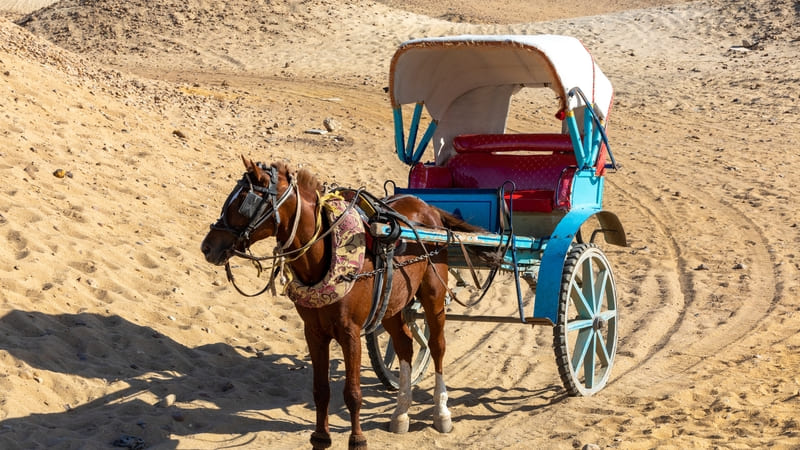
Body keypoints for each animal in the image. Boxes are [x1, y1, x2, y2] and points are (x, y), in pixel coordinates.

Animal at [200, 156, 488, 448]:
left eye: (244, 200)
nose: (207, 248)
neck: (324, 253)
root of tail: (428, 208)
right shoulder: (314, 333)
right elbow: (321, 390)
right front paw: (320, 437)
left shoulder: (351, 333)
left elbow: (353, 392)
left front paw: (357, 439)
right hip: (392, 306)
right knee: (405, 345)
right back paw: (401, 413)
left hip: (433, 296)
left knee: (437, 347)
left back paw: (441, 413)